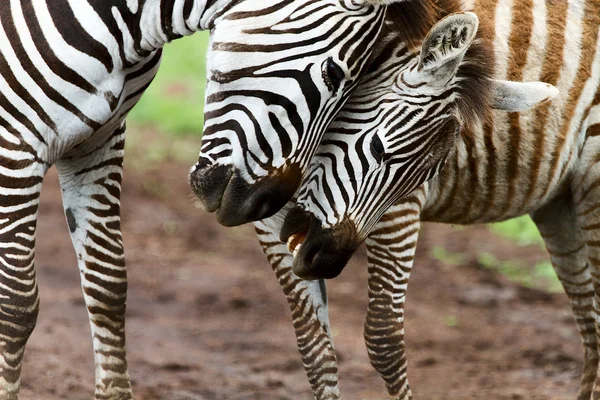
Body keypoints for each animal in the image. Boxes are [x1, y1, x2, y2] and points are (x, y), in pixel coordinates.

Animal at [0, 0, 422, 398]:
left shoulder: (98, 144)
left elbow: (107, 284)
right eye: (334, 74)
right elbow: (16, 301)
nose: (263, 205)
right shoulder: (14, 148)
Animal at [272, 0, 596, 396]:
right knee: (590, 321)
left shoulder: (400, 209)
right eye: (378, 148)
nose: (321, 259)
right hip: (561, 204)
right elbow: (312, 344)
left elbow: (383, 337)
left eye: (427, 174)